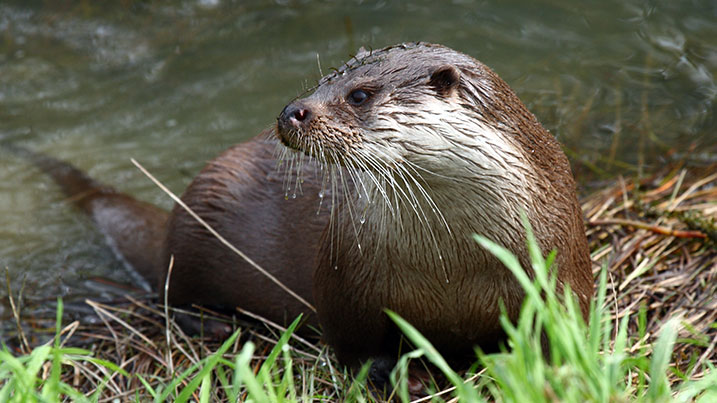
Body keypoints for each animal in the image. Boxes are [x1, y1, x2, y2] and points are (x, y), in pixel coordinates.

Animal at [12, 42, 592, 370]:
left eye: (359, 94)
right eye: (323, 79)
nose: (292, 110)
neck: (453, 265)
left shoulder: (561, 264)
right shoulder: (347, 279)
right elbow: (354, 343)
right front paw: (393, 373)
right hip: (202, 219)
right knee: (170, 293)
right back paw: (215, 326)